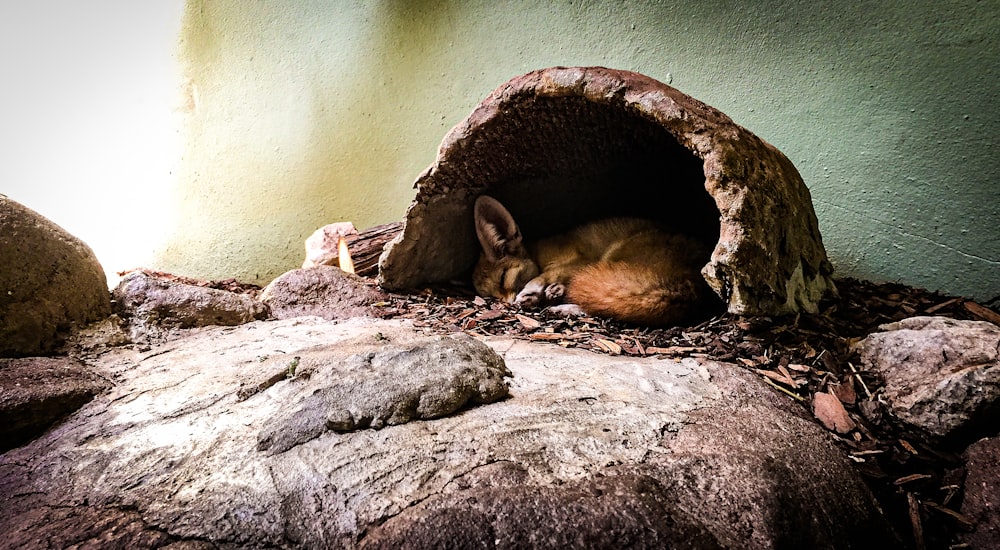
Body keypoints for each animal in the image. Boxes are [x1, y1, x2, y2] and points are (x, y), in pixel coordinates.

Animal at [474, 196, 720, 328]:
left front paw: (532, 291)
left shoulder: (580, 261)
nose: (508, 305)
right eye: (493, 296)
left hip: (611, 256)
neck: (541, 254)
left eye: (504, 278)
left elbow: (544, 276)